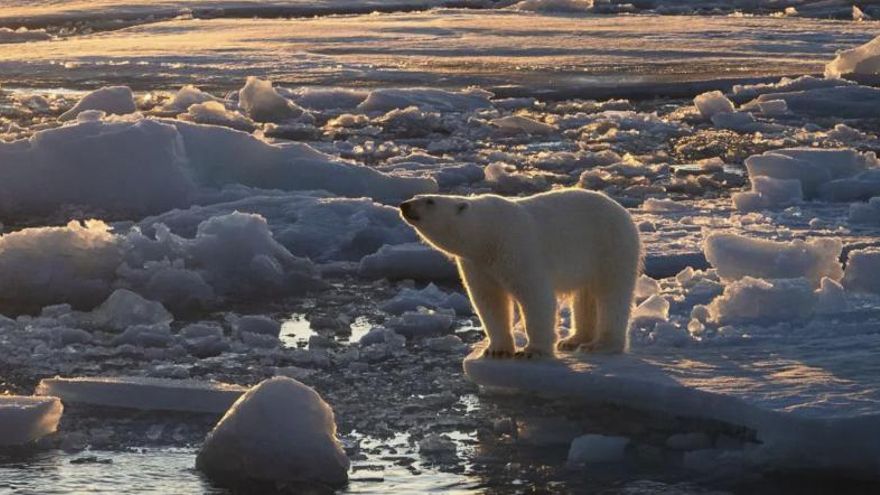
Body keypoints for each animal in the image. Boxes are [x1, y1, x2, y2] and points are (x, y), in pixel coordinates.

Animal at [399, 189, 641, 358]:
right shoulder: (477, 264)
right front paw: (497, 350)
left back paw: (600, 345)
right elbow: (489, 300)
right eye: (416, 196)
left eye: (430, 201)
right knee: (585, 296)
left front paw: (532, 351)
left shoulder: (516, 248)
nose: (404, 205)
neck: (489, 234)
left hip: (611, 246)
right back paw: (572, 340)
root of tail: (623, 212)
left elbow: (535, 296)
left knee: (612, 294)